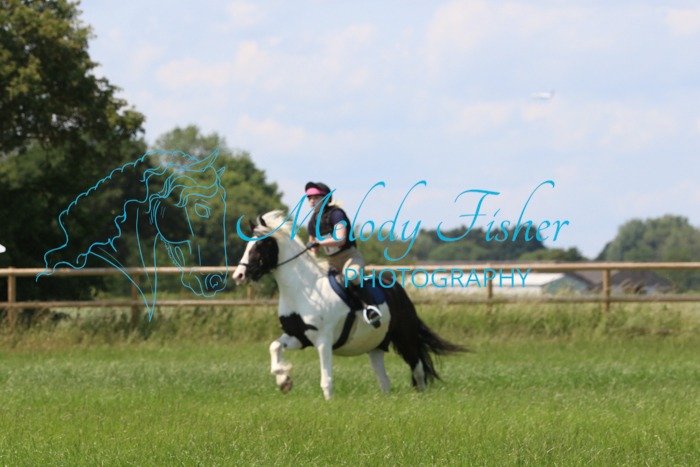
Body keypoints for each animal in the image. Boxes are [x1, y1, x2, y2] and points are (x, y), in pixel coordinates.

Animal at [233, 210, 464, 400]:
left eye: (259, 246)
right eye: (247, 245)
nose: (239, 275)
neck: (303, 289)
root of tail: (399, 289)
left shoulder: (323, 340)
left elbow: (326, 379)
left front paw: (328, 403)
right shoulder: (298, 336)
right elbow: (274, 347)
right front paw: (284, 380)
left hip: (405, 337)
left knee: (418, 368)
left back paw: (421, 398)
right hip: (376, 345)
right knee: (384, 379)